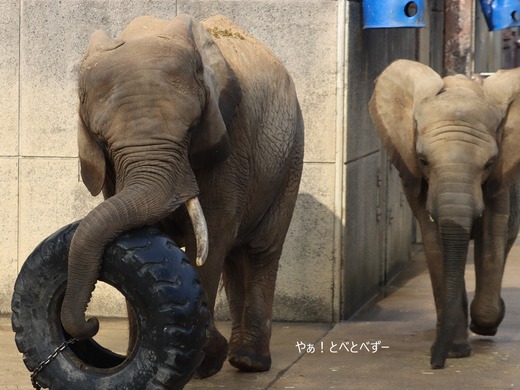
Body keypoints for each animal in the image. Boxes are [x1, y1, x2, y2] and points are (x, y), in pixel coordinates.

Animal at [370, 60, 520, 368]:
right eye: (423, 161)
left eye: (489, 163)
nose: (435, 364)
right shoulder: (414, 178)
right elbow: (435, 243)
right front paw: (456, 351)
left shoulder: (502, 177)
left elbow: (492, 237)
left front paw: (485, 323)